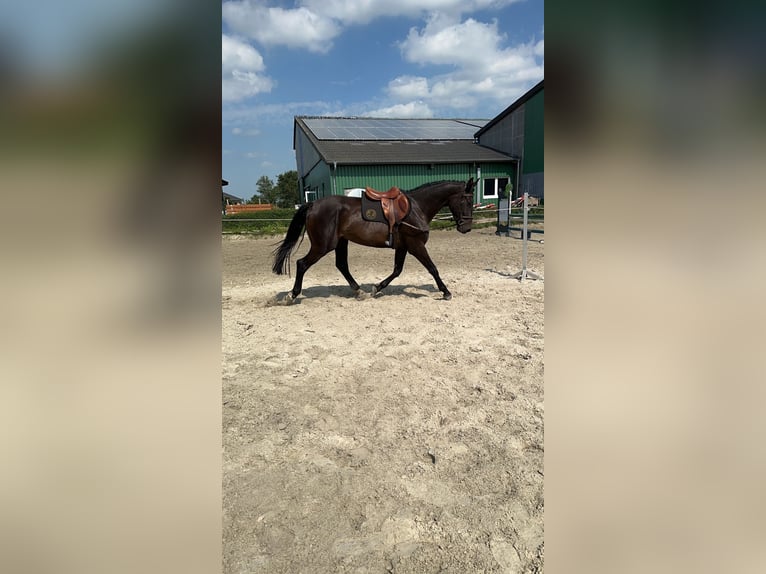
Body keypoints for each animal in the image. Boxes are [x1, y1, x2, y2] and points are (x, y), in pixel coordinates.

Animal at [272, 179, 476, 306]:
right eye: (467, 201)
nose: (466, 228)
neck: (416, 208)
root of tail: (313, 204)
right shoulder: (416, 245)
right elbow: (432, 268)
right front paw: (446, 292)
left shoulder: (403, 247)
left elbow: (397, 271)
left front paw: (376, 288)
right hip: (322, 246)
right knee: (302, 264)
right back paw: (291, 295)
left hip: (340, 243)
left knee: (342, 265)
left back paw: (359, 291)